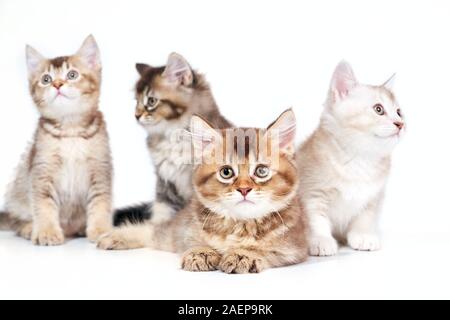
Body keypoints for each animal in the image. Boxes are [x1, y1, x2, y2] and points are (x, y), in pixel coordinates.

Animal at [0, 34, 112, 245]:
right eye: (46, 79)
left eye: (72, 75)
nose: (57, 84)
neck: (70, 131)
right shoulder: (42, 170)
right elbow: (44, 205)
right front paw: (47, 232)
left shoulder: (100, 169)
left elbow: (100, 203)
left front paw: (101, 230)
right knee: (17, 222)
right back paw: (29, 228)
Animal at [98, 109, 310, 272]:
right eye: (226, 172)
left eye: (261, 171)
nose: (244, 189)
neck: (238, 225)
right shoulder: (186, 231)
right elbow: (189, 241)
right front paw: (201, 252)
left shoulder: (295, 248)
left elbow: (266, 250)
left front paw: (244, 255)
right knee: (152, 230)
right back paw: (113, 236)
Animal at [114, 53, 230, 228]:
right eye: (137, 101)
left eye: (151, 101)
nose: (136, 115)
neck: (172, 138)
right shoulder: (164, 181)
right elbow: (162, 209)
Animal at [298, 60, 406, 256]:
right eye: (378, 109)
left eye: (399, 112)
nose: (400, 124)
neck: (359, 158)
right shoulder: (311, 193)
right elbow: (315, 219)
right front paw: (320, 240)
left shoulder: (374, 197)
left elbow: (365, 217)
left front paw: (363, 236)